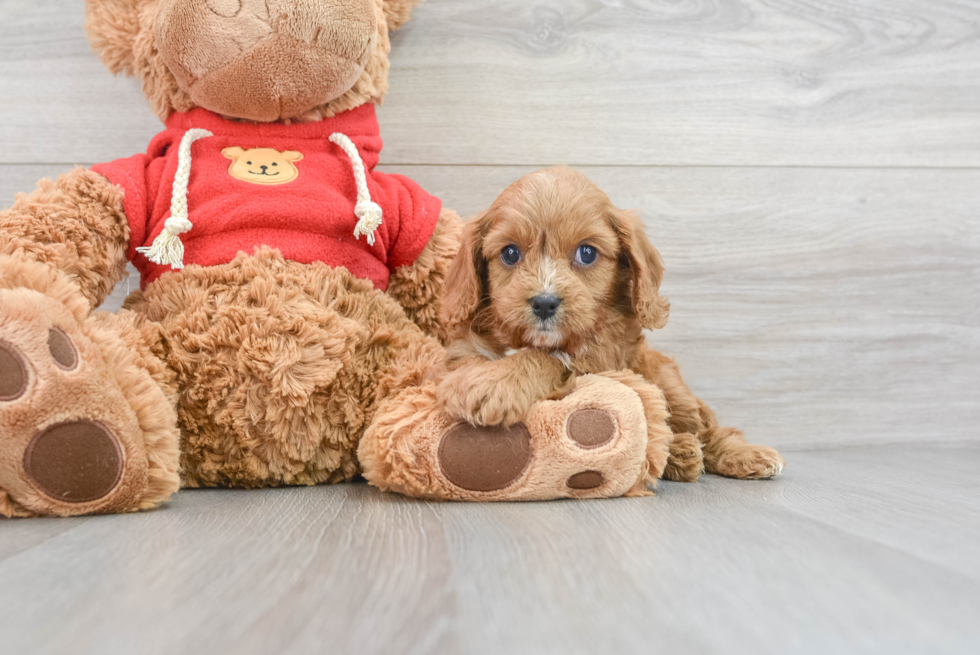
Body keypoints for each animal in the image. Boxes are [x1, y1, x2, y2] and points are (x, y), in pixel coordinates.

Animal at [436, 165, 780, 482]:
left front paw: (497, 383)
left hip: (671, 383)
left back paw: (742, 454)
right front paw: (490, 377)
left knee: (706, 428)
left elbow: (549, 359)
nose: (544, 302)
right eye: (510, 253)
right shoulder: (460, 355)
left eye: (587, 253)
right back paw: (682, 452)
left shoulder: (602, 360)